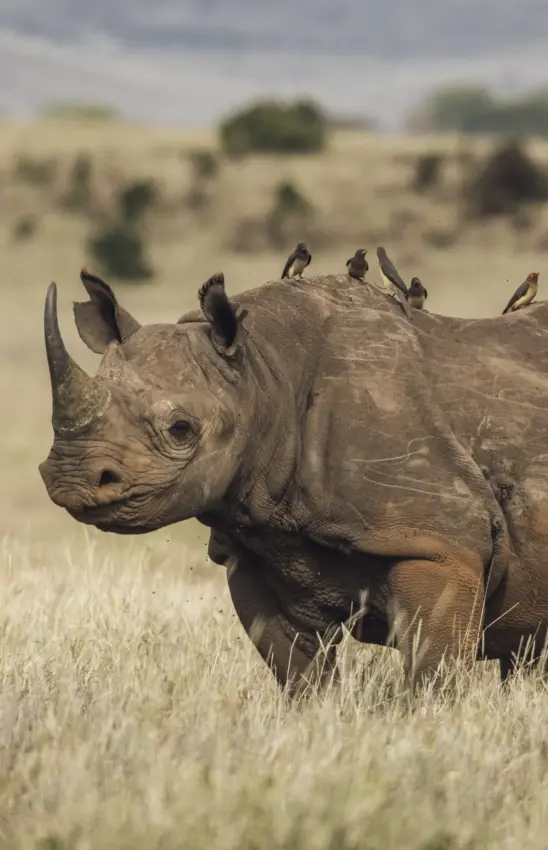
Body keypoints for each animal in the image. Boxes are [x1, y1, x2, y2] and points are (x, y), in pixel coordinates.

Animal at [39, 269, 548, 693]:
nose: (70, 477)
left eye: (181, 429)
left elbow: (432, 672)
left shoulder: (438, 542)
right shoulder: (254, 549)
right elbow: (300, 674)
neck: (263, 373)